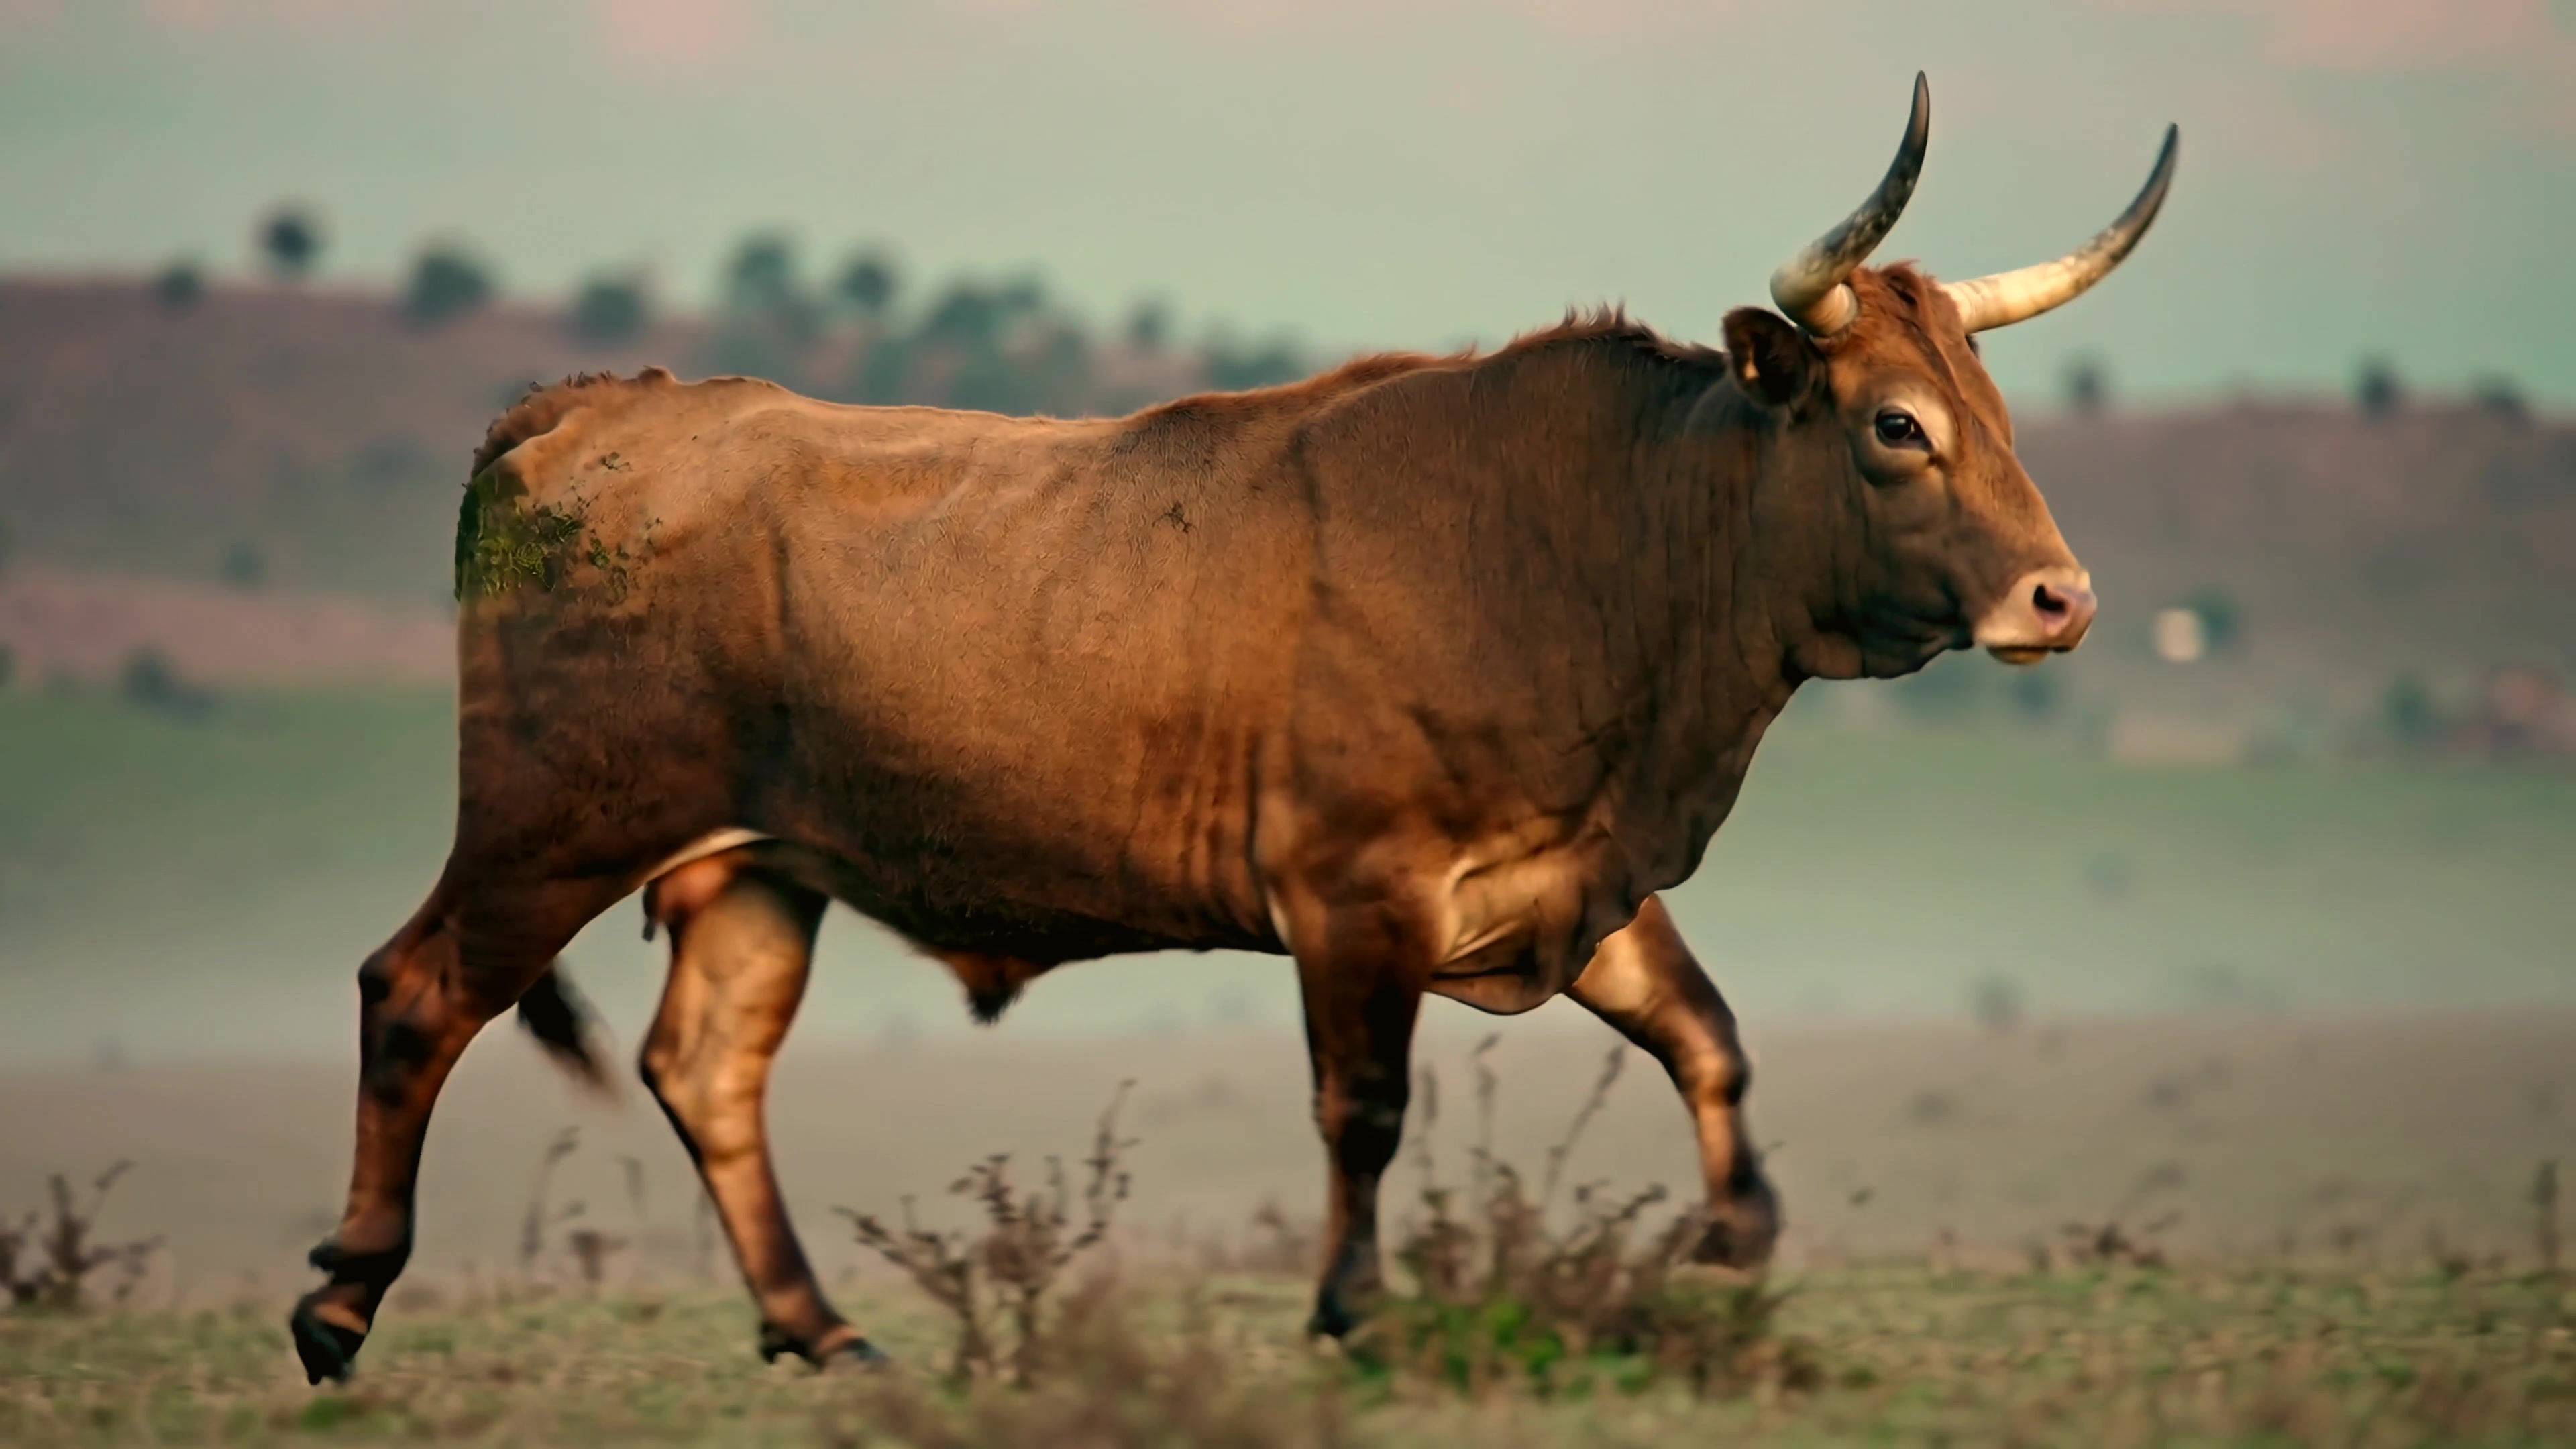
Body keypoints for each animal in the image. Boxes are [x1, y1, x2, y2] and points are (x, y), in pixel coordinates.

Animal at [290, 74, 2176, 1382]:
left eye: (1998, 412)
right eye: (1895, 425)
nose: (2062, 598)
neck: (1592, 538)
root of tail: (597, 409)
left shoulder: (1569, 878)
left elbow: (1708, 1041)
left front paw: (1727, 1243)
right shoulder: (1354, 893)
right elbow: (1365, 1110)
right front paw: (1352, 1309)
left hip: (760, 864)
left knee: (707, 1066)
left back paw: (822, 1329)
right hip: (554, 825)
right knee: (418, 991)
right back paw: (341, 1302)